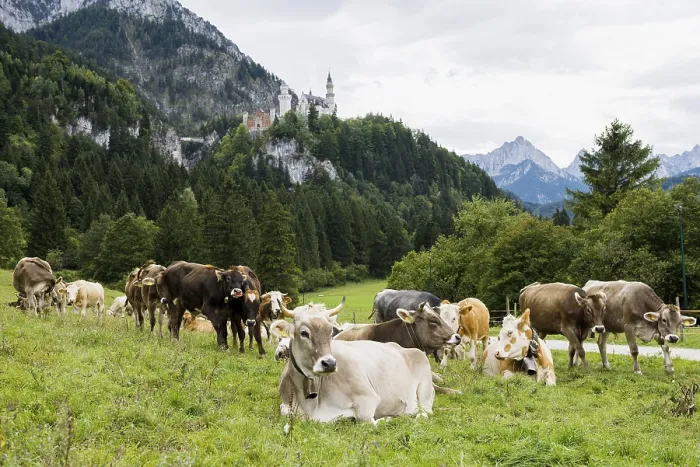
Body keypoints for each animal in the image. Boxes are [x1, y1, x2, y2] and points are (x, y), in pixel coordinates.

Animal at [274, 298, 439, 426]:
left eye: (330, 331)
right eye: (304, 333)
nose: (330, 364)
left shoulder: (368, 398)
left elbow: (367, 421)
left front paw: (389, 418)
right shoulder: (286, 406)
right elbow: (284, 412)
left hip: (425, 388)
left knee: (424, 412)